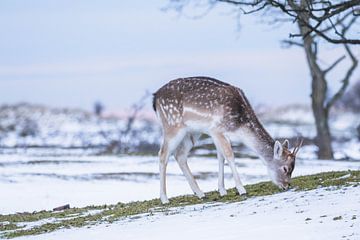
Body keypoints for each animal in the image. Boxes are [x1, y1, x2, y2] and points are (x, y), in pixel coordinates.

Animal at [151, 77, 300, 204]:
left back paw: (200, 193)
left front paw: (222, 190)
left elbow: (220, 157)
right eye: (285, 168)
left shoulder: (218, 133)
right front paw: (241, 189)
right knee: (163, 154)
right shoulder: (216, 129)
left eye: (293, 168)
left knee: (180, 155)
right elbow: (229, 155)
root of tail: (155, 98)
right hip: (172, 125)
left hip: (193, 132)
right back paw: (164, 198)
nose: (286, 185)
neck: (239, 125)